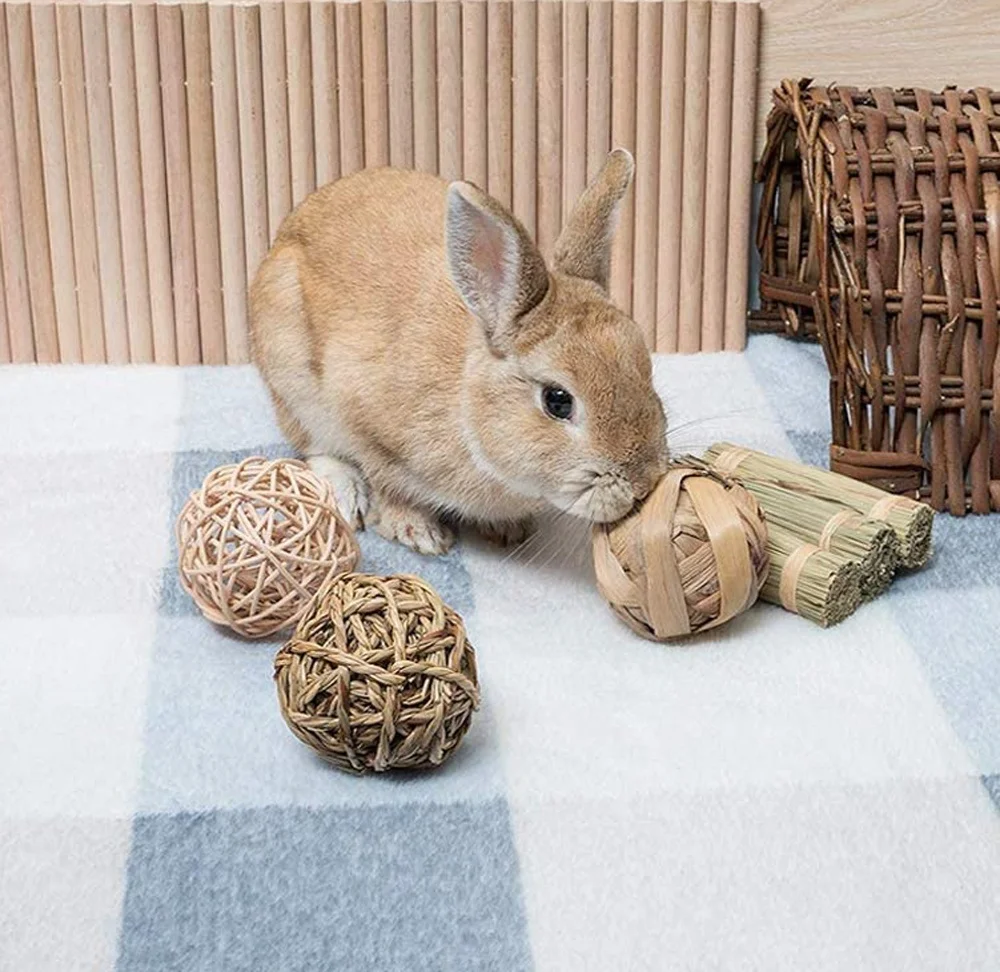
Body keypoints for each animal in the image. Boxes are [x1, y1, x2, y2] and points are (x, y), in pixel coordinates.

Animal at [249, 148, 668, 556]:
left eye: (646, 370)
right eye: (558, 400)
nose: (643, 482)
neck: (466, 405)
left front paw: (509, 529)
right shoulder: (365, 425)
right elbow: (388, 483)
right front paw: (418, 533)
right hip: (293, 382)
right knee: (314, 445)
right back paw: (349, 496)